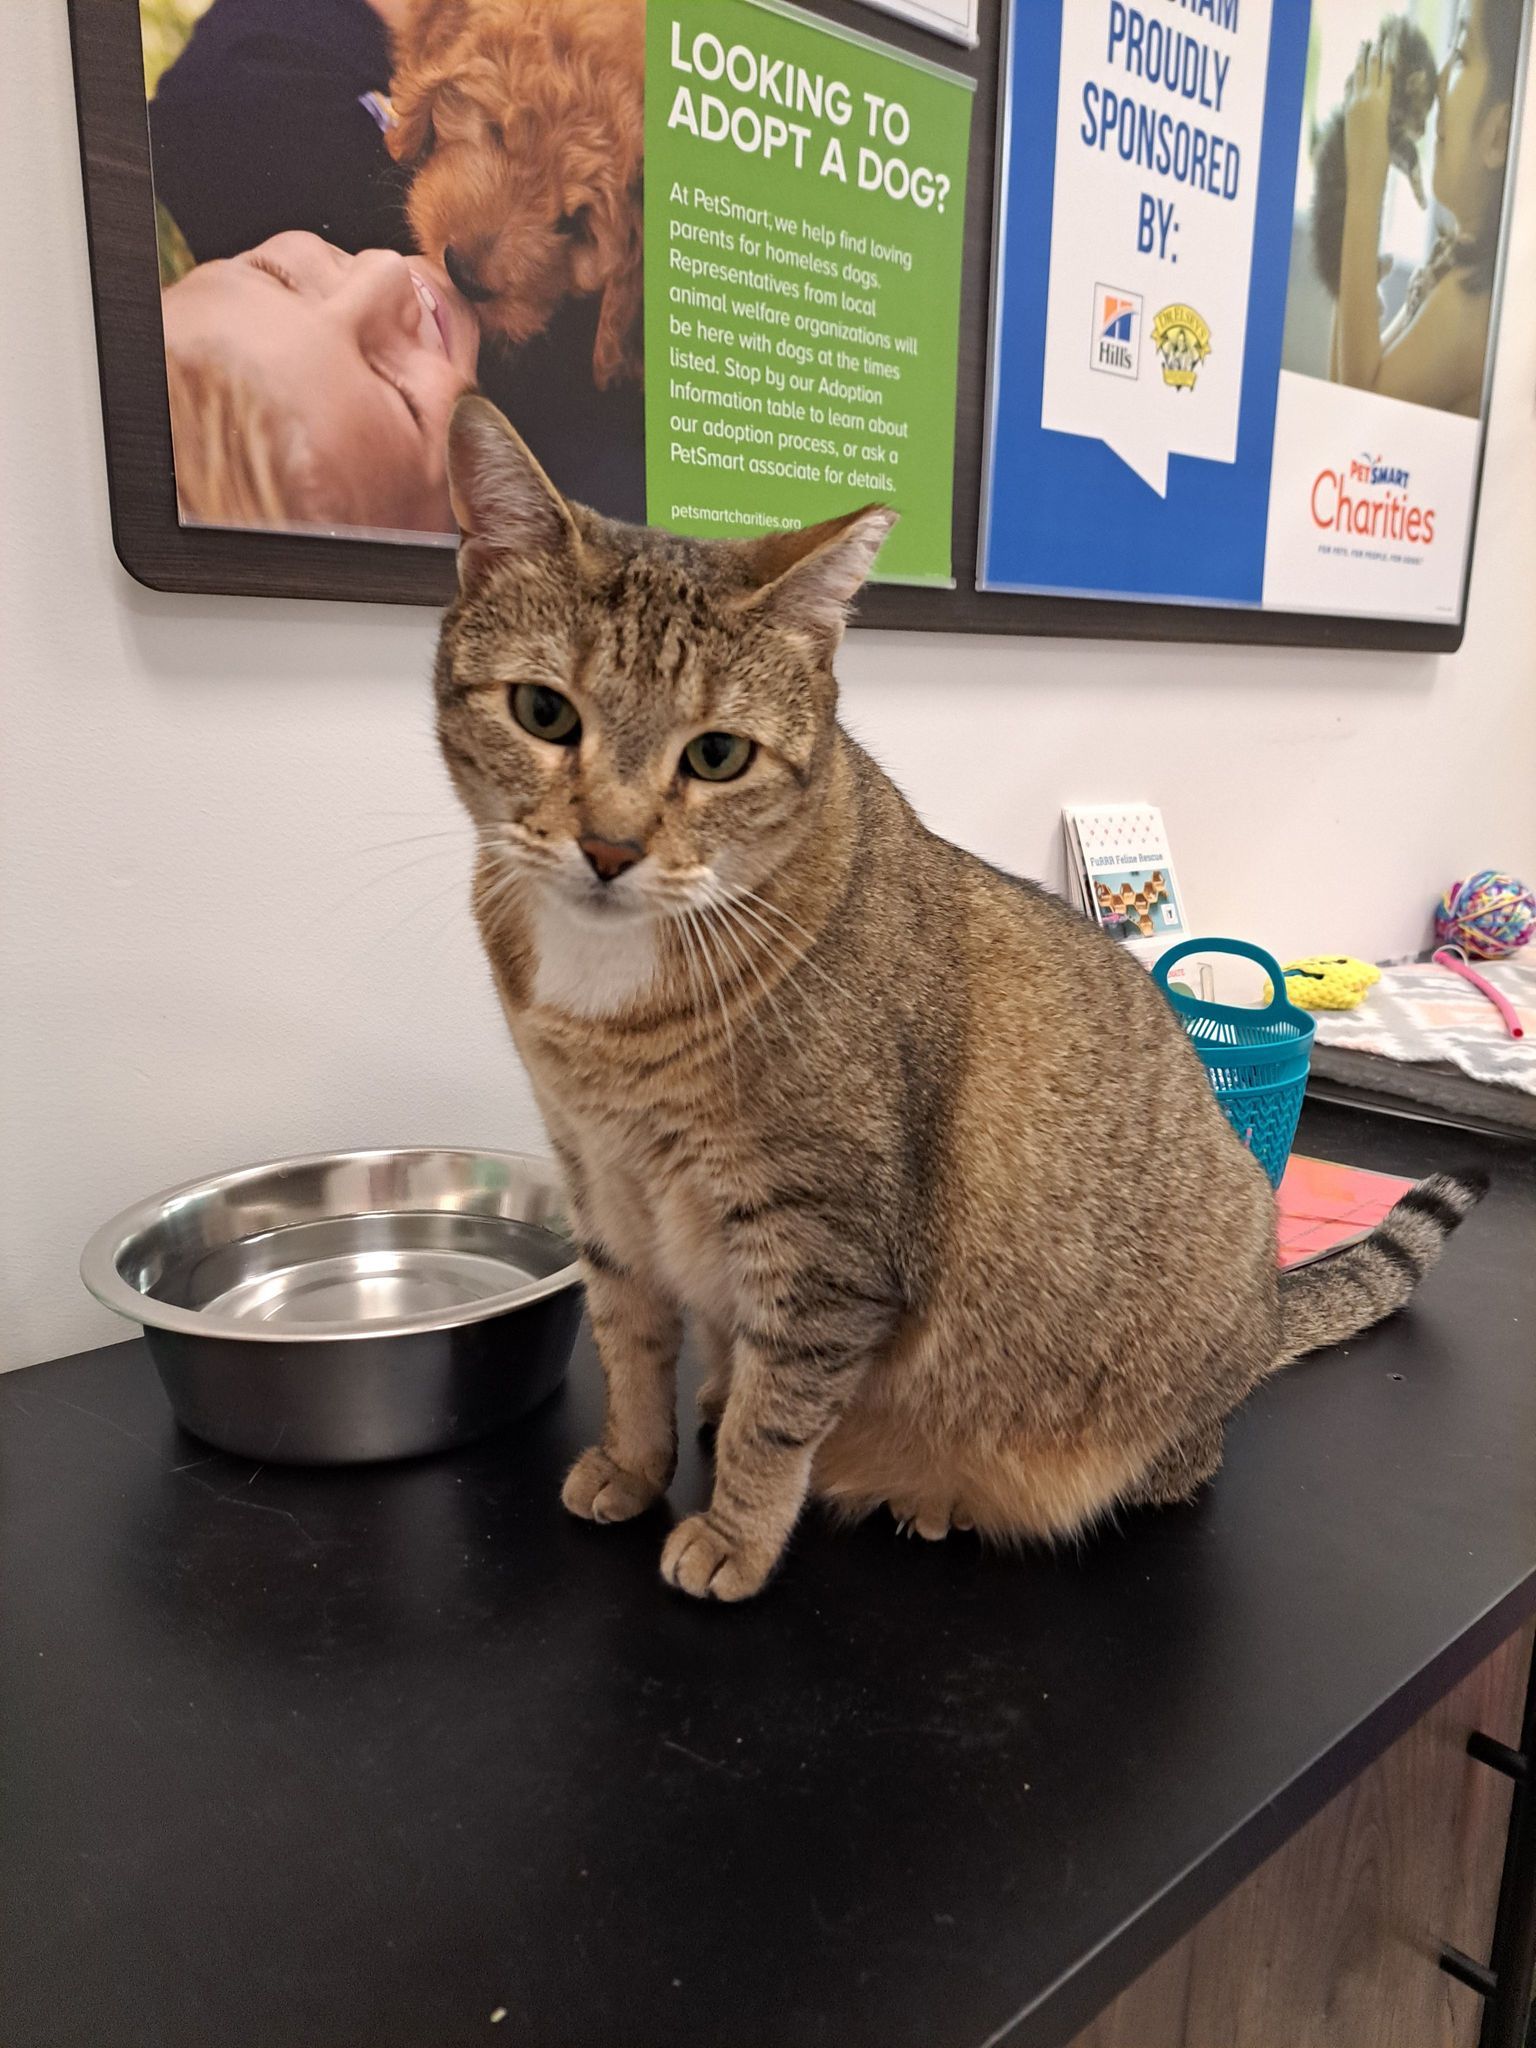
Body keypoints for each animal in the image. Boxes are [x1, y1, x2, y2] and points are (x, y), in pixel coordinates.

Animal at [434, 387, 1490, 1597]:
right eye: (543, 713)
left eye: (715, 756)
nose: (609, 846)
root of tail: (1266, 1315)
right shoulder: (602, 1183)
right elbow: (627, 1346)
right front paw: (630, 1460)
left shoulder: (825, 1246)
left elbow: (775, 1418)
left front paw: (736, 1534)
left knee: (1159, 1468)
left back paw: (936, 1494)